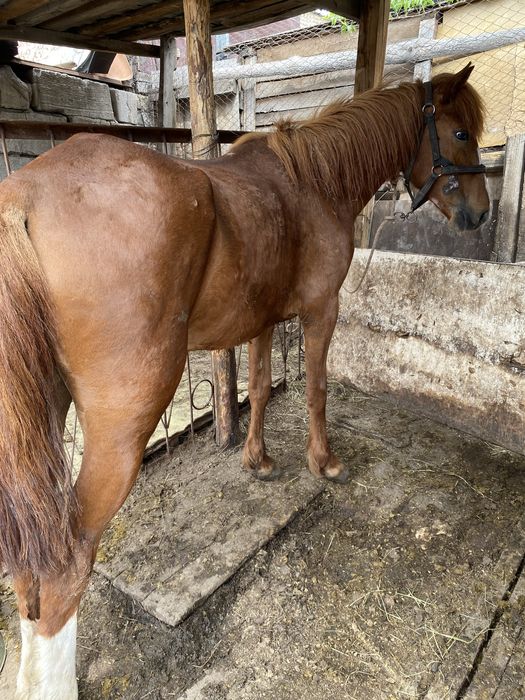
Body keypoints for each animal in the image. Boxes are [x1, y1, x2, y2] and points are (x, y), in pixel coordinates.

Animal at [0, 64, 489, 699]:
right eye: (460, 134)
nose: (481, 213)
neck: (311, 183)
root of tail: (23, 198)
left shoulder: (262, 320)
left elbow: (256, 389)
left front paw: (257, 460)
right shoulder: (320, 311)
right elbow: (316, 390)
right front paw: (323, 462)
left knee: (29, 560)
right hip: (121, 424)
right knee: (64, 563)